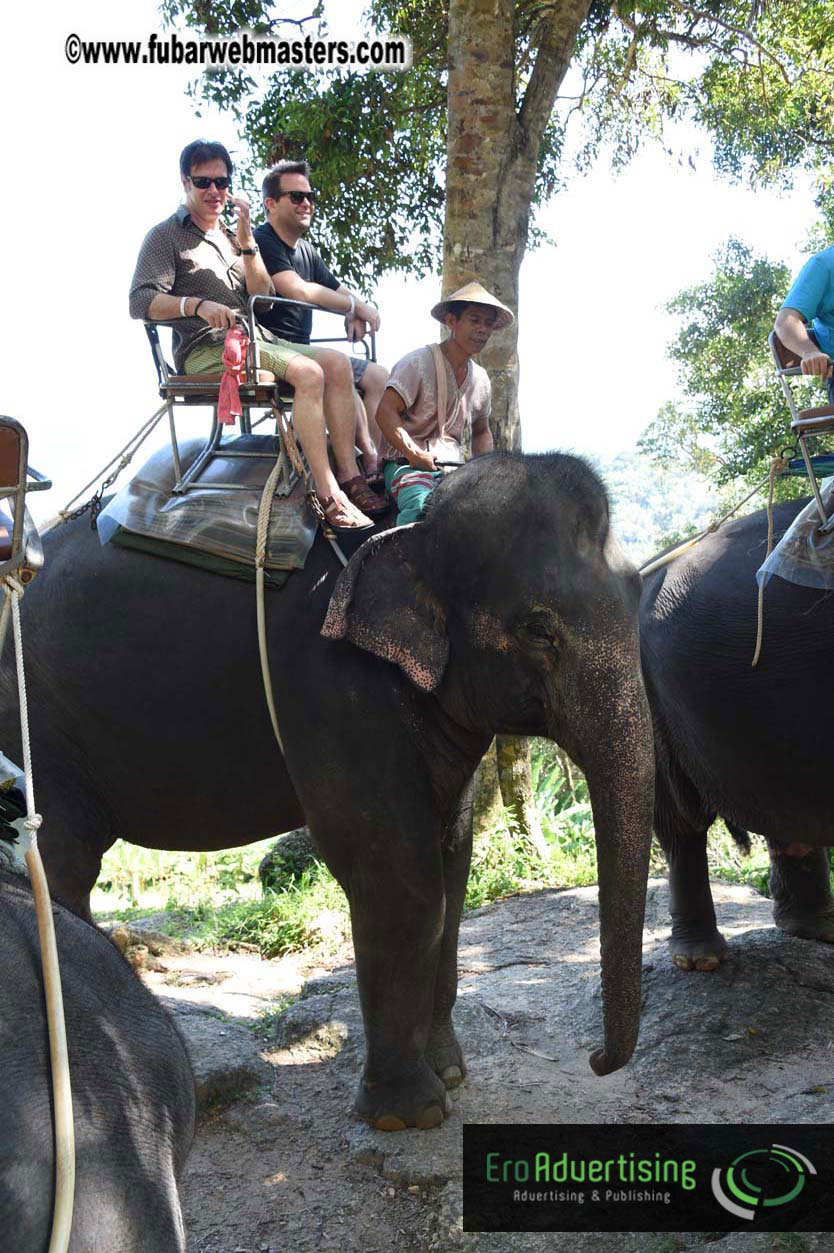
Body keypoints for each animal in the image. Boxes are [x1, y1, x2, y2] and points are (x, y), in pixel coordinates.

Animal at [0, 450, 654, 1130]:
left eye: (640, 592)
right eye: (537, 629)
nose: (596, 1061)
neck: (415, 524)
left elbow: (453, 863)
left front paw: (450, 1075)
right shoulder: (330, 681)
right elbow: (400, 876)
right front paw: (409, 1115)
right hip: (31, 716)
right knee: (59, 862)